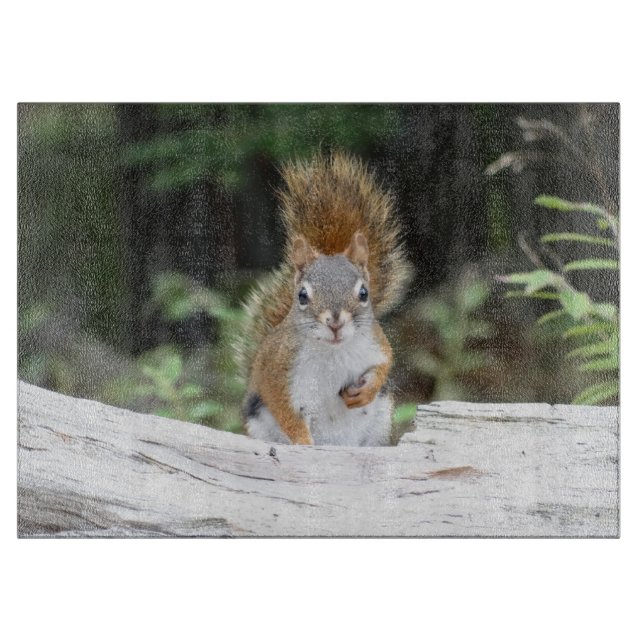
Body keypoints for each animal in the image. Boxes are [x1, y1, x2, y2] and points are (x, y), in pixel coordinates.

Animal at [236, 153, 411, 446]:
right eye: (302, 296)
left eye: (364, 293)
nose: (335, 322)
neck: (333, 351)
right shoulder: (277, 369)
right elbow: (286, 412)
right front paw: (303, 443)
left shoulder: (376, 342)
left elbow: (386, 361)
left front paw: (366, 391)